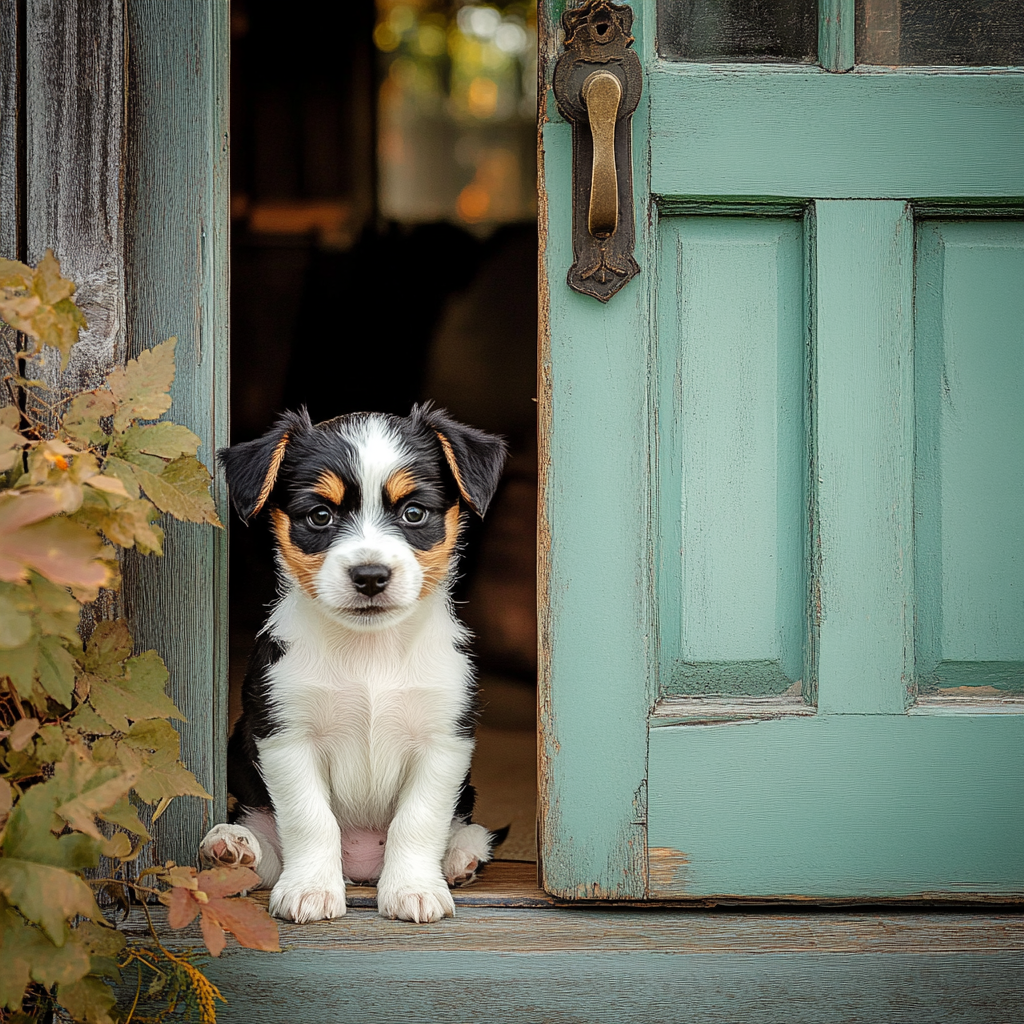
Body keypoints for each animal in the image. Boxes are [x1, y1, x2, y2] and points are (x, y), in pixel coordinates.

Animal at [198, 403, 507, 925]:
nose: (370, 575)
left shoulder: (444, 741)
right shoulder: (286, 735)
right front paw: (310, 890)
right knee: (267, 848)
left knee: (465, 830)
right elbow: (310, 819)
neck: (370, 651)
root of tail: (362, 866)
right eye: (320, 515)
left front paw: (413, 889)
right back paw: (232, 848)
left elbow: (418, 819)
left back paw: (459, 856)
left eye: (414, 513)